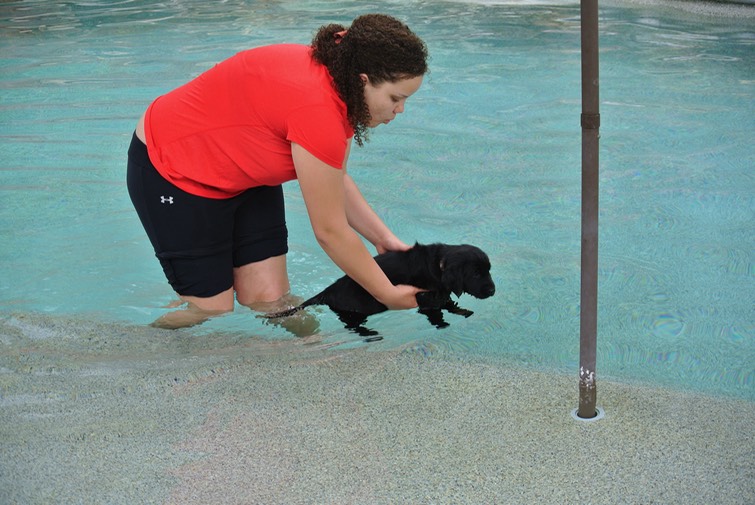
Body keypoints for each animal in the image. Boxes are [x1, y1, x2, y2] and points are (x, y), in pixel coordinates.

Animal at [264, 242, 496, 336]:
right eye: (476, 274)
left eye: (488, 270)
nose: (493, 291)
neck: (439, 265)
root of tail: (328, 290)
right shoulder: (425, 298)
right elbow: (436, 311)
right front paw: (443, 324)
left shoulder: (439, 293)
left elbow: (447, 301)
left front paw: (462, 310)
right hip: (355, 310)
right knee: (352, 325)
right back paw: (370, 333)